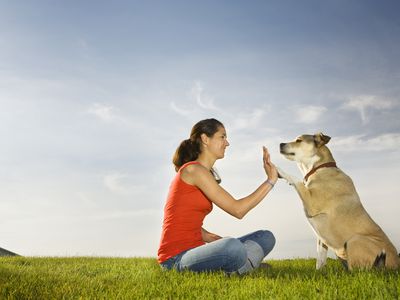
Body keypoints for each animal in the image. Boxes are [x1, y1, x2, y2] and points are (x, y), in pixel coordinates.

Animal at [278, 132, 400, 270]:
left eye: (298, 140)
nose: (280, 144)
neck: (320, 167)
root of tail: (396, 265)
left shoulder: (312, 202)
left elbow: (296, 180)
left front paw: (277, 169)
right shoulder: (321, 238)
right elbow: (320, 258)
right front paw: (319, 272)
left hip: (354, 240)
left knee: (359, 271)